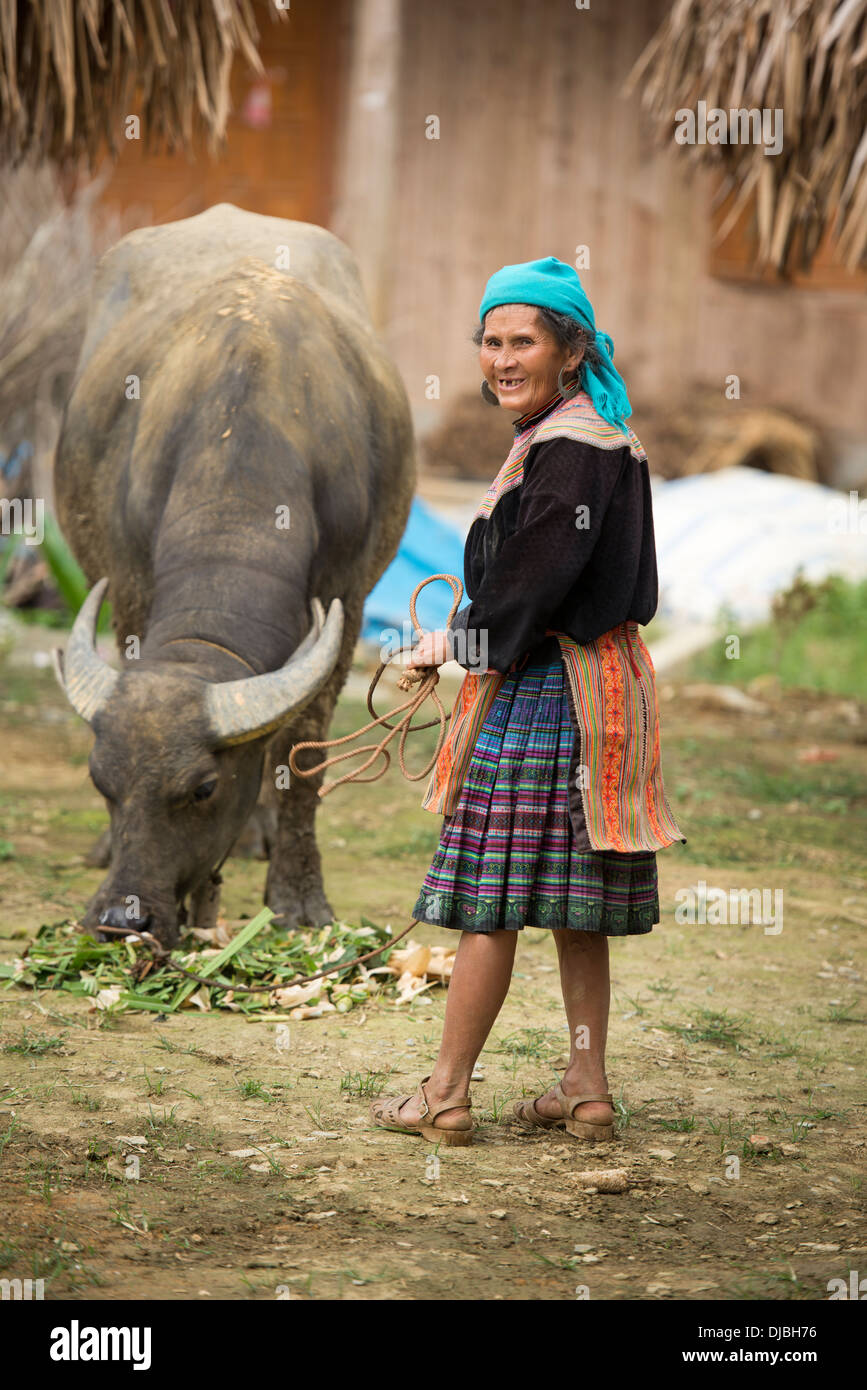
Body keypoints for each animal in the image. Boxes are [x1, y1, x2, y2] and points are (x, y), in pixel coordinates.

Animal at [53, 202, 416, 945]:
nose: (123, 919)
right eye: (101, 782)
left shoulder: (346, 598)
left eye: (202, 789)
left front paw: (299, 899)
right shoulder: (130, 588)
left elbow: (302, 750)